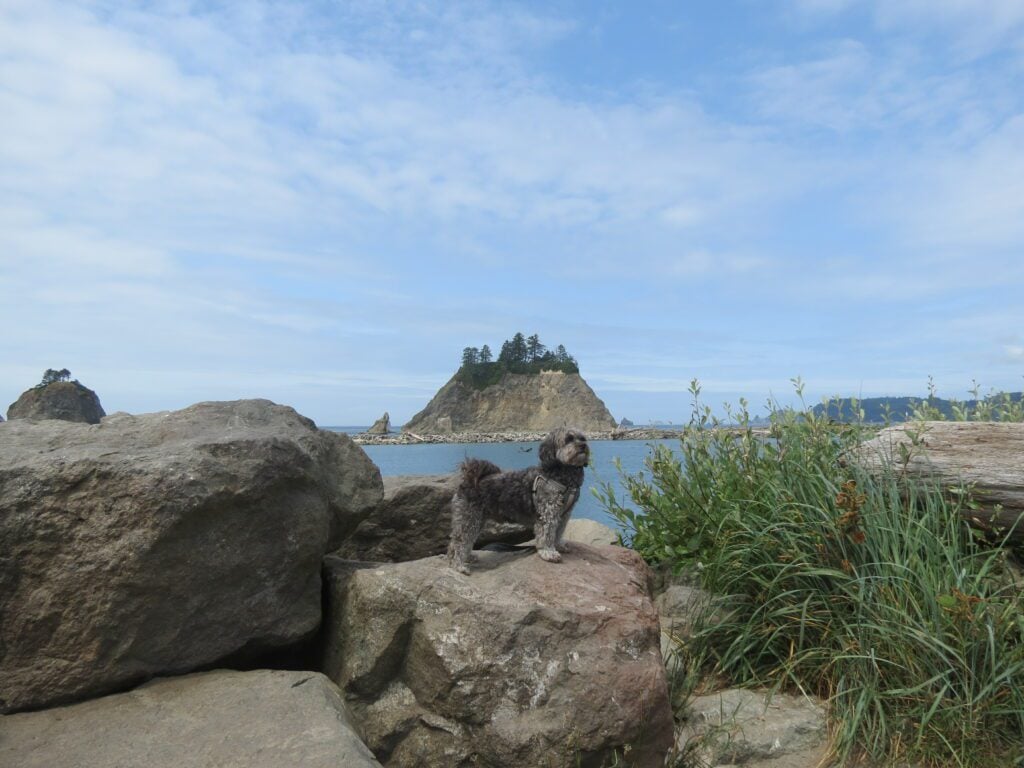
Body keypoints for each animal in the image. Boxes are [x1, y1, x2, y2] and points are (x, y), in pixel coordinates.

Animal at [448, 428, 593, 577]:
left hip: (477, 520)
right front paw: (549, 552)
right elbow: (547, 535)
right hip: (469, 518)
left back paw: (468, 557)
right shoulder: (548, 512)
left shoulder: (563, 515)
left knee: (460, 542)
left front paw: (558, 545)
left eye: (582, 439)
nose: (583, 446)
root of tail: (467, 480)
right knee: (460, 541)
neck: (562, 475)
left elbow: (558, 533)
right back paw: (459, 565)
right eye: (568, 439)